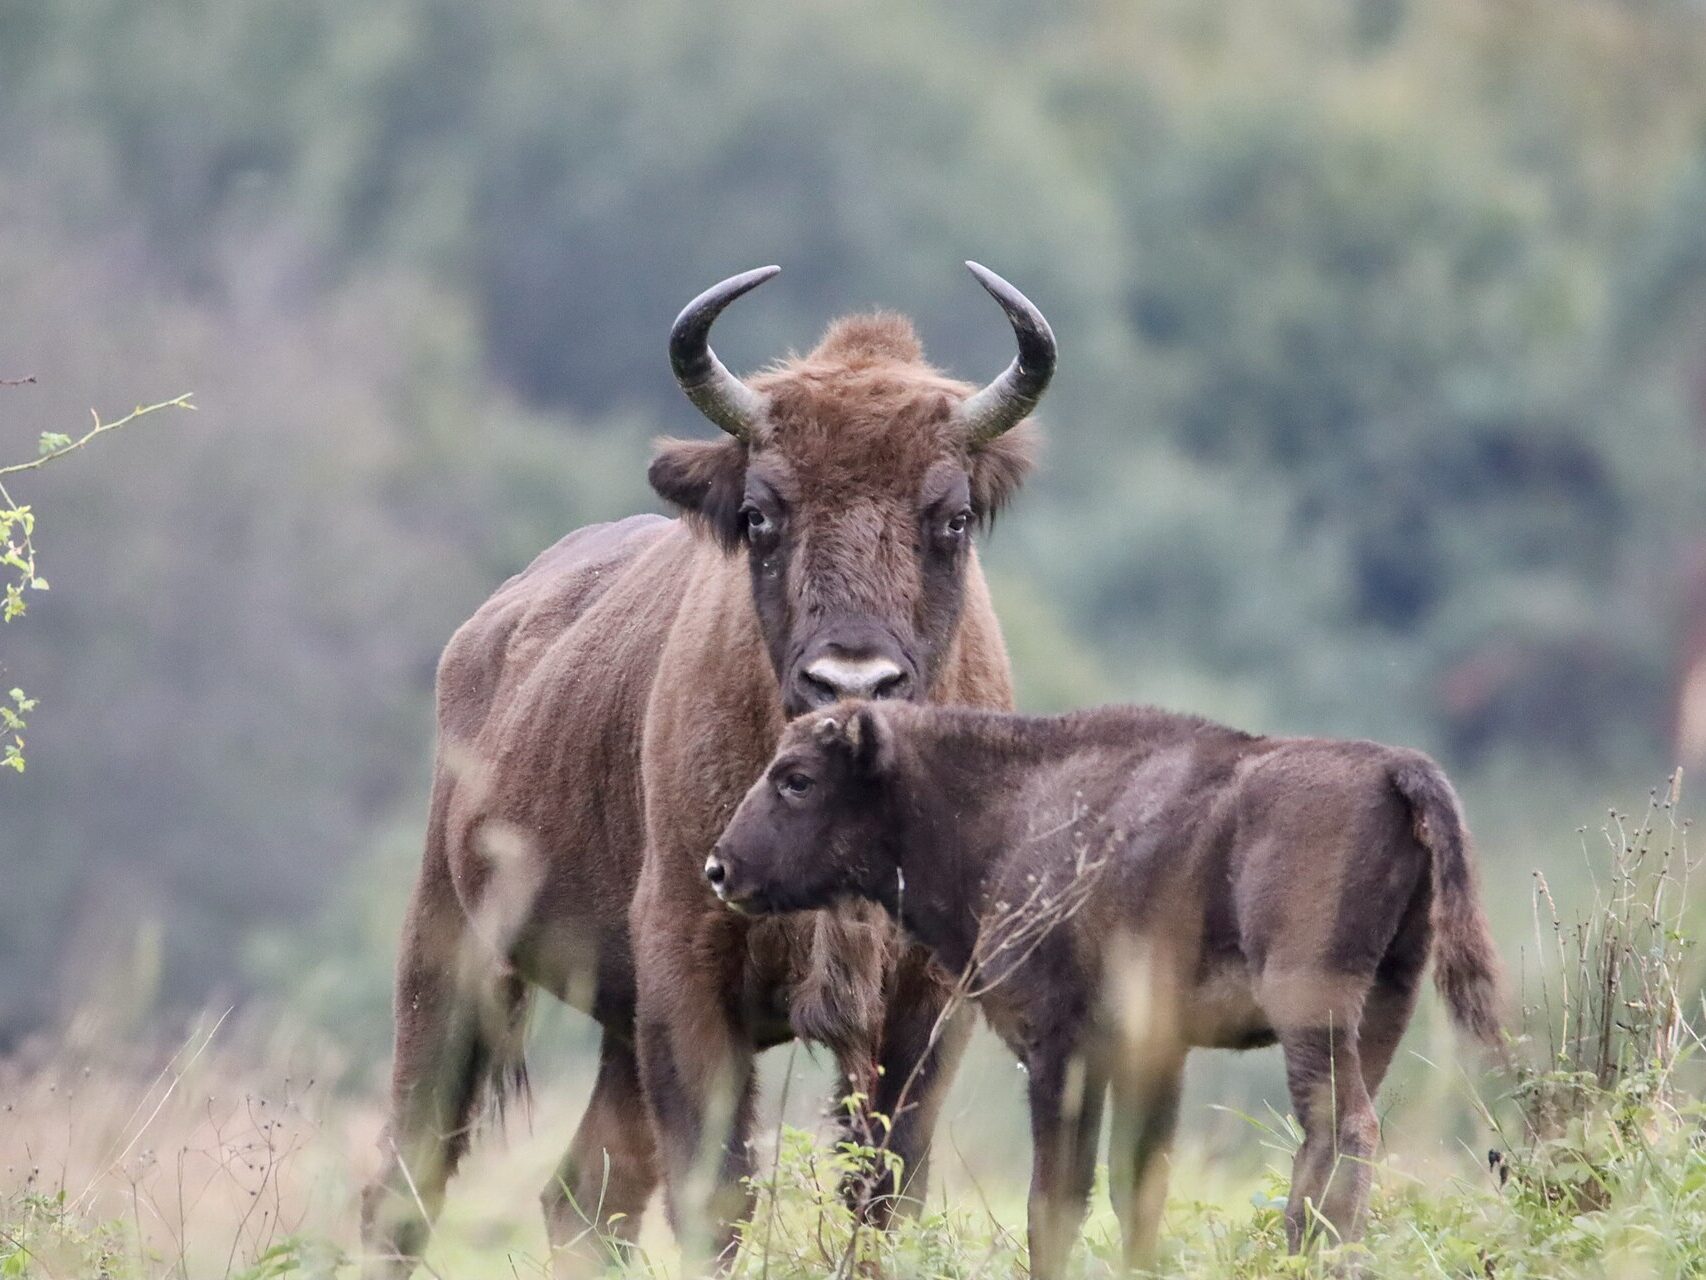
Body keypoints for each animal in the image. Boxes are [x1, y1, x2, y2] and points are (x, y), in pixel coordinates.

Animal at [359, 262, 1050, 1276]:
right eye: (760, 515)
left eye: (953, 517)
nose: (852, 679)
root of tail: (488, 628)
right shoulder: (689, 970)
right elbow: (718, 1197)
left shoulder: (928, 1000)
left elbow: (882, 1192)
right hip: (448, 957)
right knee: (409, 1180)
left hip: (610, 1021)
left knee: (584, 1191)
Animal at [699, 706, 1501, 1276]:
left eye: (797, 778)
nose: (719, 868)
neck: (1007, 809)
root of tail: (1396, 769)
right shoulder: (1150, 1056)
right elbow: (1135, 1188)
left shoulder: (1059, 1050)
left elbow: (1054, 1200)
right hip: (1383, 1004)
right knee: (1333, 1138)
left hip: (1311, 1006)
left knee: (1342, 1130)